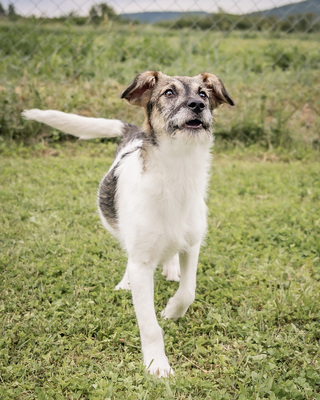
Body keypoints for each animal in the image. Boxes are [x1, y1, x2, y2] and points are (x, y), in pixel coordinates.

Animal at [21, 71, 232, 378]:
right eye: (169, 92)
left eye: (203, 93)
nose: (197, 105)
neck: (177, 172)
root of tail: (133, 132)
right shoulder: (142, 261)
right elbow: (149, 324)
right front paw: (157, 364)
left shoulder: (192, 245)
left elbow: (188, 292)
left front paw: (171, 310)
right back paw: (127, 281)